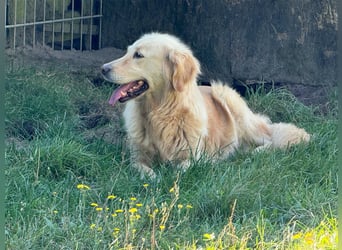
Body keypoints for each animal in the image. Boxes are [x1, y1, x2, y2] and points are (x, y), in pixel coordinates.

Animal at [101, 32, 310, 179]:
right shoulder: (136, 156)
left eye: (138, 55)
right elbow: (141, 168)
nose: (103, 69)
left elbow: (180, 169)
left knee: (269, 140)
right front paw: (153, 177)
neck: (159, 112)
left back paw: (252, 153)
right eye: (127, 52)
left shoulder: (194, 157)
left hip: (231, 102)